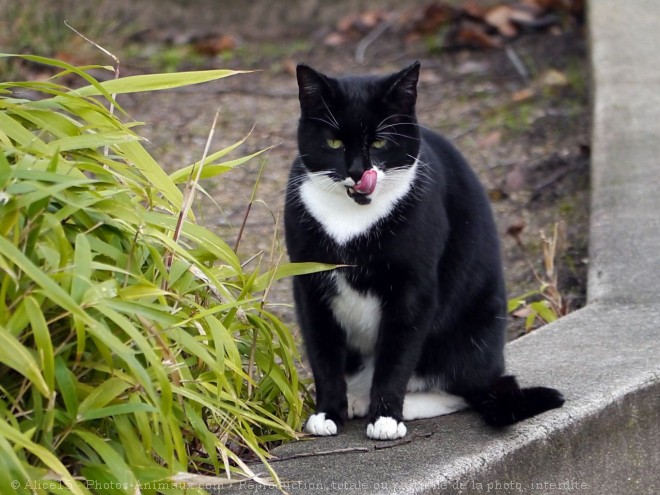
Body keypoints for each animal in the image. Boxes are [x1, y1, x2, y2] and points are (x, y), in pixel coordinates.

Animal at [282, 62, 564, 442]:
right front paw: (327, 413)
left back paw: (403, 404)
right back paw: (356, 399)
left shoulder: (413, 287)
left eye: (380, 142)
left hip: (470, 334)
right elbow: (323, 353)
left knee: (460, 389)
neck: (351, 220)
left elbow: (396, 356)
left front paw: (386, 417)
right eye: (334, 142)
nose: (358, 172)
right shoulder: (309, 285)